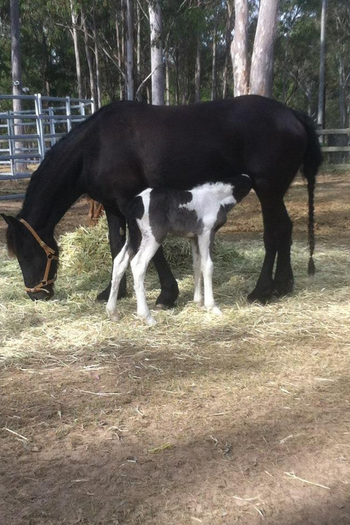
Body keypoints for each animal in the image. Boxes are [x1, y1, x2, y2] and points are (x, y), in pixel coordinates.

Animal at [1, 96, 322, 304]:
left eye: (27, 254)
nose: (36, 295)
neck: (95, 147)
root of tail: (292, 114)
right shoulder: (113, 208)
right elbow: (117, 247)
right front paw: (112, 292)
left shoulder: (132, 203)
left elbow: (150, 250)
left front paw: (167, 295)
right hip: (275, 192)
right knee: (285, 229)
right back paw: (284, 285)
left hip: (268, 190)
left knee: (274, 233)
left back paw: (262, 291)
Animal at [106, 175, 252, 324]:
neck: (216, 199)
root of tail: (134, 204)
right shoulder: (206, 233)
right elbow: (208, 266)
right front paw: (212, 307)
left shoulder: (194, 237)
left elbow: (197, 265)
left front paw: (198, 302)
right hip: (154, 236)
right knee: (138, 264)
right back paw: (147, 317)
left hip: (134, 236)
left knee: (119, 262)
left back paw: (113, 313)